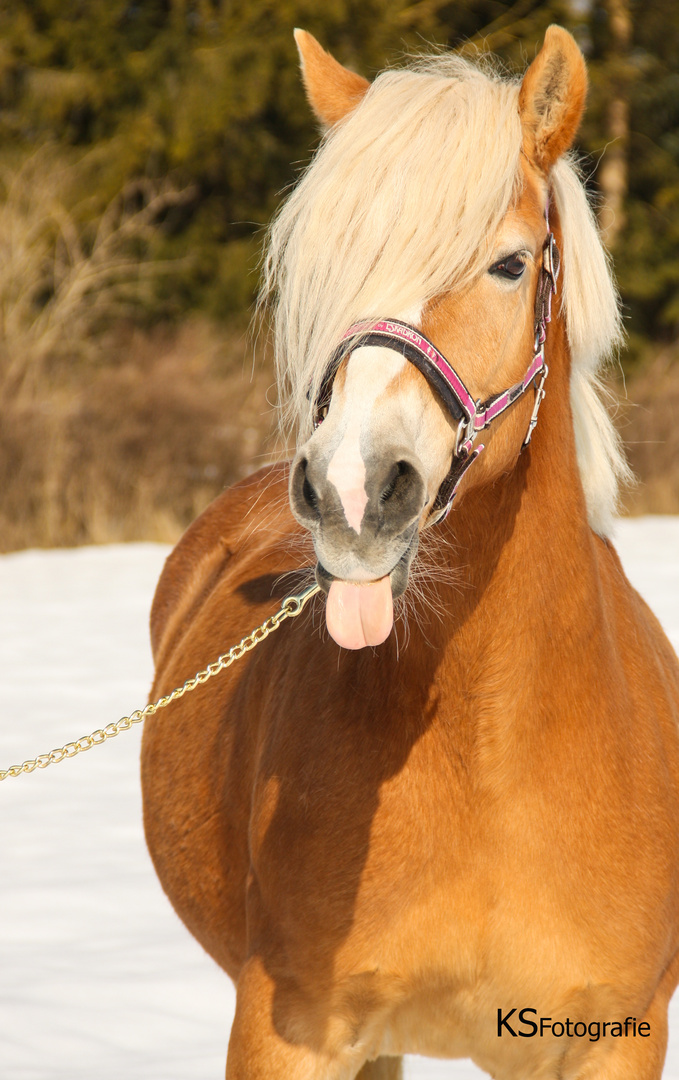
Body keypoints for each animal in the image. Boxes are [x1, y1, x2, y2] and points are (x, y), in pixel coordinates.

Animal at [140, 23, 677, 1080]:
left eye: (509, 265)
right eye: (322, 267)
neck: (492, 751)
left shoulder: (611, 1039)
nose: (349, 490)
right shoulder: (288, 1034)